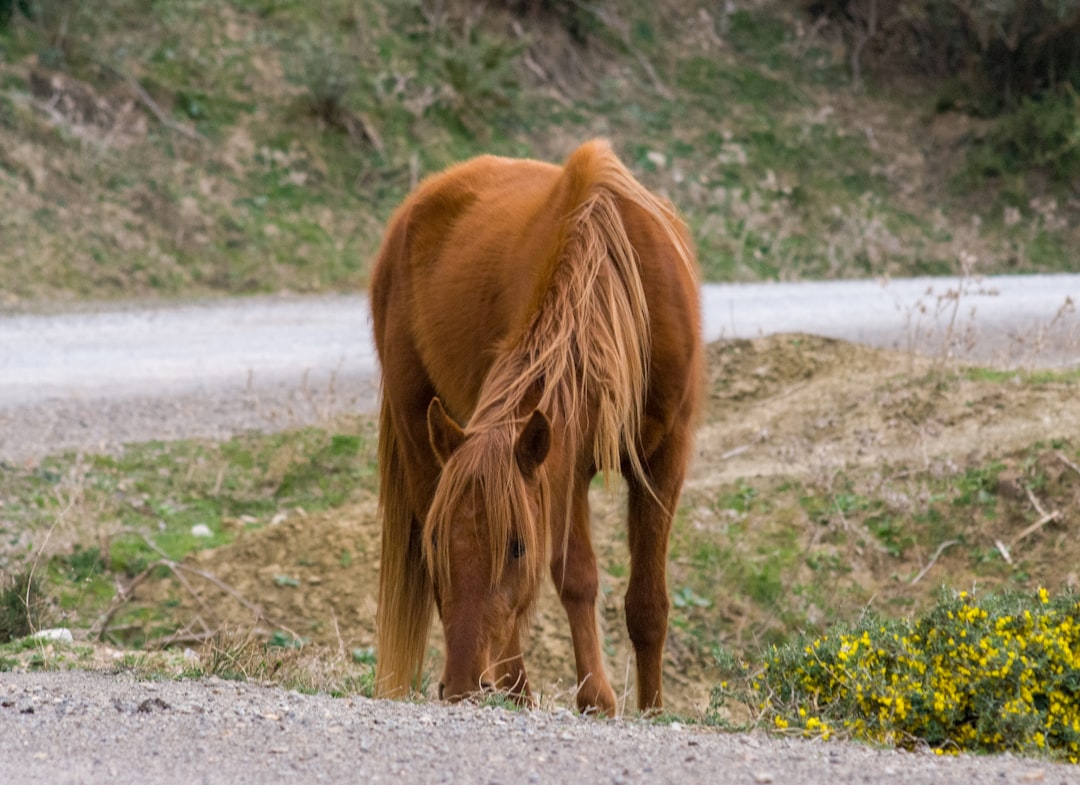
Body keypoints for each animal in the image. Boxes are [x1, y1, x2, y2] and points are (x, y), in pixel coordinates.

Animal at [371, 138, 704, 716]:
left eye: (516, 547)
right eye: (436, 541)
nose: (461, 684)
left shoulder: (663, 456)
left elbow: (647, 603)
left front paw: (652, 708)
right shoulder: (563, 465)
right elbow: (576, 578)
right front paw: (596, 698)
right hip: (420, 436)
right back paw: (516, 691)